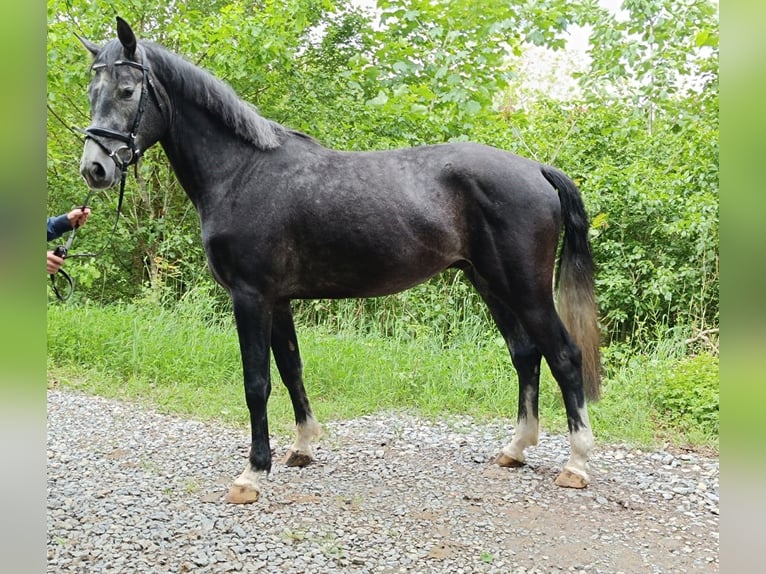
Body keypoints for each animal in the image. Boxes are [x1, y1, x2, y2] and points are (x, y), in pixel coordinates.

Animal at [79, 16, 608, 504]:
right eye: (91, 90)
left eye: (127, 90)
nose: (95, 168)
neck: (241, 172)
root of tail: (535, 169)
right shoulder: (278, 300)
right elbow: (291, 369)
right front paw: (302, 448)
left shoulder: (250, 296)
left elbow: (256, 383)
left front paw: (252, 473)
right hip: (490, 284)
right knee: (525, 355)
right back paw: (515, 450)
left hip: (525, 289)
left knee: (564, 356)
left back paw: (577, 465)